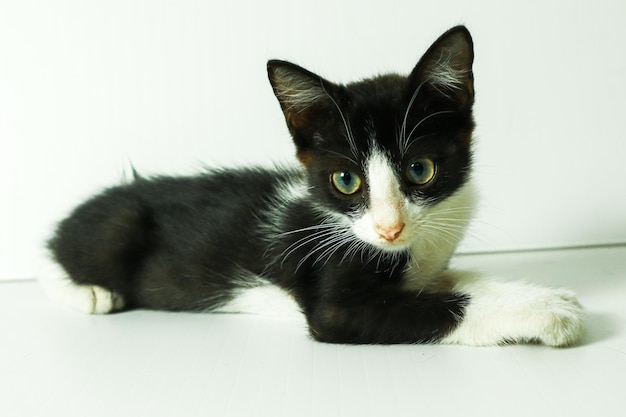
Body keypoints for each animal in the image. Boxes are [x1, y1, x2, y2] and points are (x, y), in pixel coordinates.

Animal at [42, 25, 580, 344]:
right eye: (346, 180)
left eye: (419, 170)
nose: (388, 229)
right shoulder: (334, 301)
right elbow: (432, 307)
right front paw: (546, 311)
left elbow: (447, 280)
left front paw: (531, 292)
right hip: (116, 224)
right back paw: (90, 294)